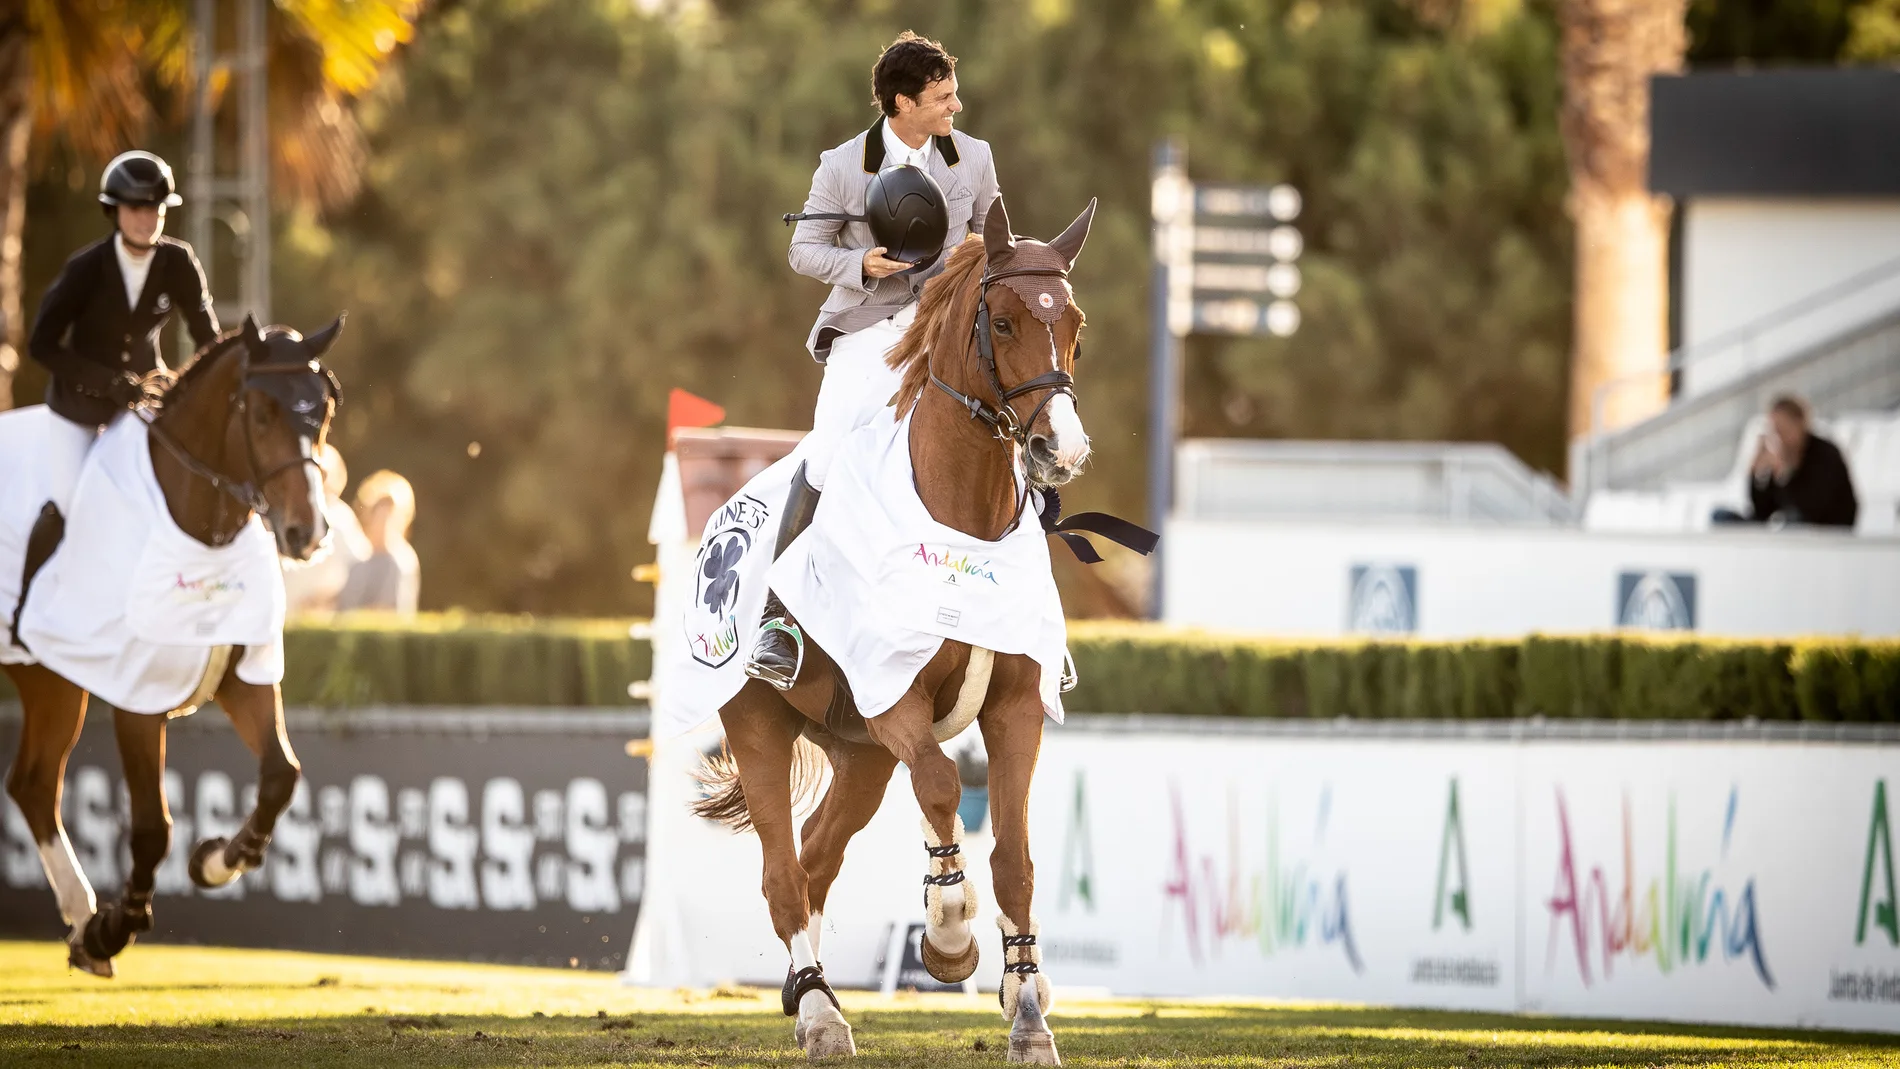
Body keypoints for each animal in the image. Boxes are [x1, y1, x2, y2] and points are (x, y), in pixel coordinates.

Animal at [3, 314, 343, 977]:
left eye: (321, 413)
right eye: (261, 414)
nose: (306, 533)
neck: (201, 527)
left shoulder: (242, 674)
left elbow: (280, 774)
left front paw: (217, 860)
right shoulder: (138, 693)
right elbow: (151, 826)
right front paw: (117, 927)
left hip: (49, 680)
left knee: (33, 782)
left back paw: (80, 918)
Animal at [694, 197, 1093, 1064]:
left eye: (1075, 323)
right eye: (1004, 321)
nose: (1061, 449)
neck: (964, 517)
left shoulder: (1013, 709)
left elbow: (1015, 860)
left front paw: (1027, 1010)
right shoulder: (893, 698)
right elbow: (942, 784)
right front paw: (948, 936)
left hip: (863, 754)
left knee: (815, 858)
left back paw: (808, 991)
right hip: (763, 721)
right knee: (784, 872)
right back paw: (820, 1011)